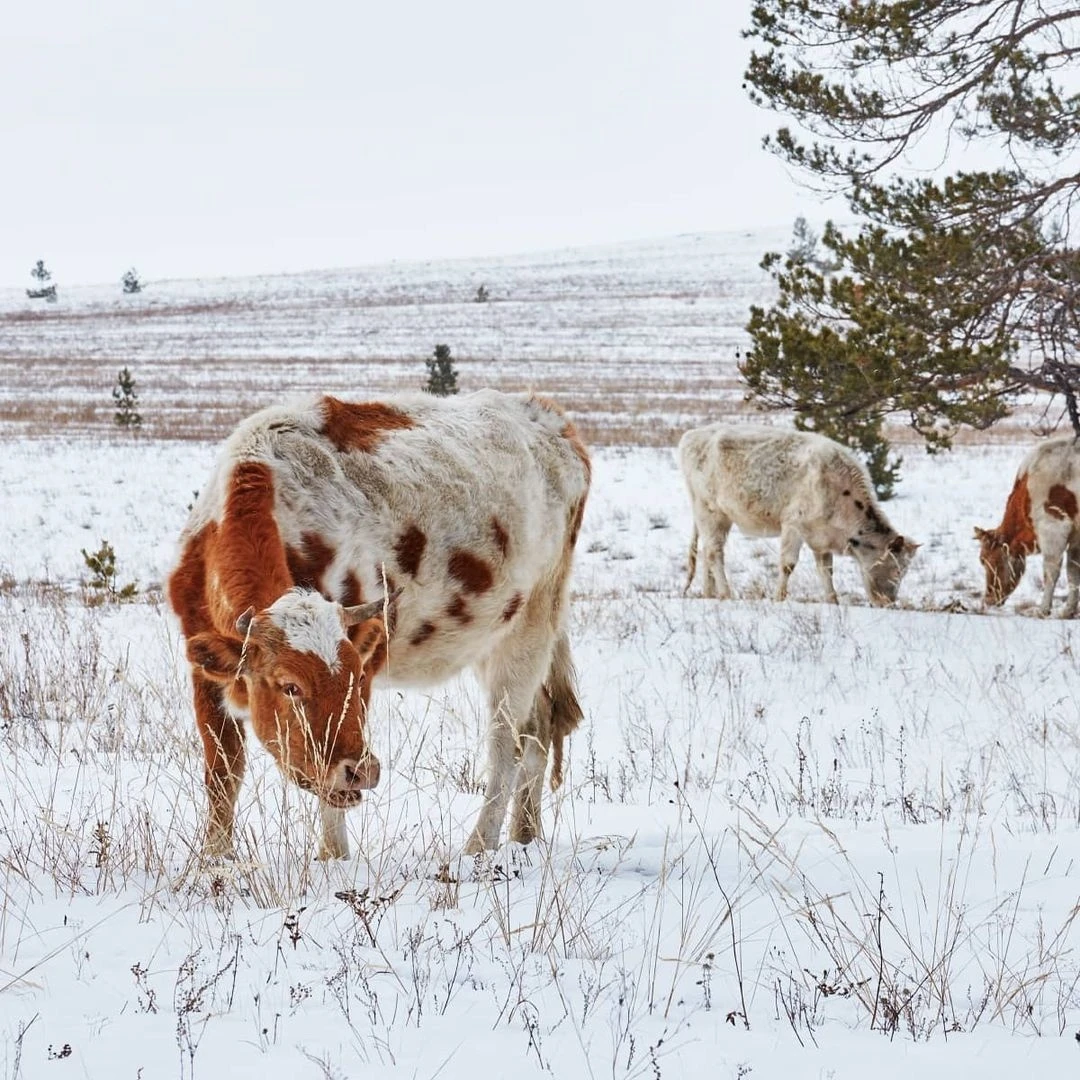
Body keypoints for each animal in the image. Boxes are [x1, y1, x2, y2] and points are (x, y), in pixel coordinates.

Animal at [167, 390, 591, 859]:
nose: (362, 770)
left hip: (530, 629)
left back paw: (480, 848)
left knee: (508, 746)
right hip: (493, 639)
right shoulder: (204, 673)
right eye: (289, 686)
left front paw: (332, 859)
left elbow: (328, 800)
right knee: (540, 726)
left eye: (355, 678)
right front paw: (215, 859)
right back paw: (524, 837)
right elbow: (223, 774)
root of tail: (548, 417)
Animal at [678, 423, 915, 609]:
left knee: (707, 552)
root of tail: (692, 434)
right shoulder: (793, 526)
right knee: (714, 553)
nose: (888, 603)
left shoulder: (821, 538)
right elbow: (788, 564)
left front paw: (832, 601)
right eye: (896, 570)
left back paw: (709, 593)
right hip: (710, 512)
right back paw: (726, 593)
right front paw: (778, 598)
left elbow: (826, 571)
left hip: (718, 519)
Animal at [972, 432, 1080, 617]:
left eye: (983, 560)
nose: (988, 599)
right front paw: (1068, 611)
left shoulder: (1053, 527)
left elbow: (1051, 572)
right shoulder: (1075, 537)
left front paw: (1042, 610)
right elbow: (1073, 573)